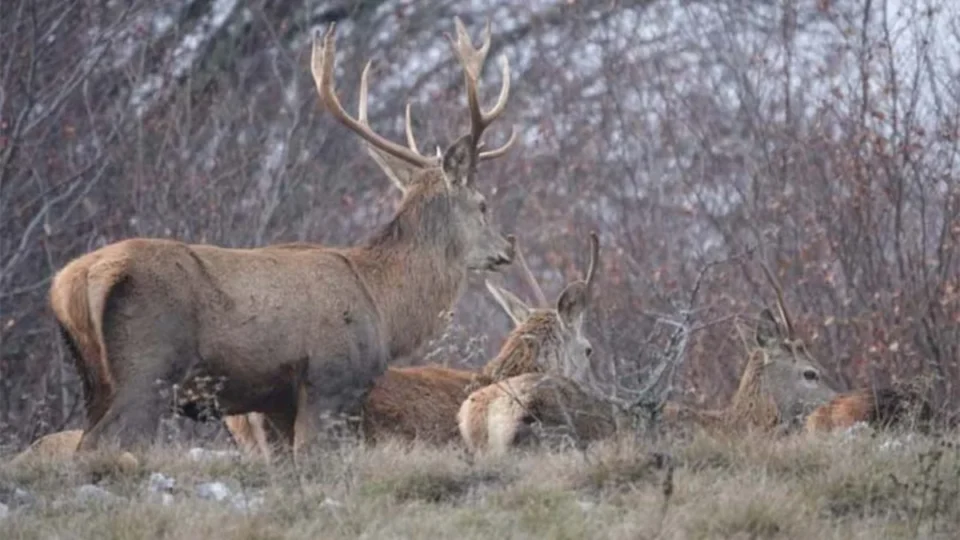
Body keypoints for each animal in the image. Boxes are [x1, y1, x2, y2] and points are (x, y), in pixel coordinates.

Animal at [47, 16, 516, 458]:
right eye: (482, 204)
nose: (507, 248)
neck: (382, 305)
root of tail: (73, 281)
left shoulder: (276, 400)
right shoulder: (329, 378)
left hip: (93, 377)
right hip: (148, 367)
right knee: (103, 441)